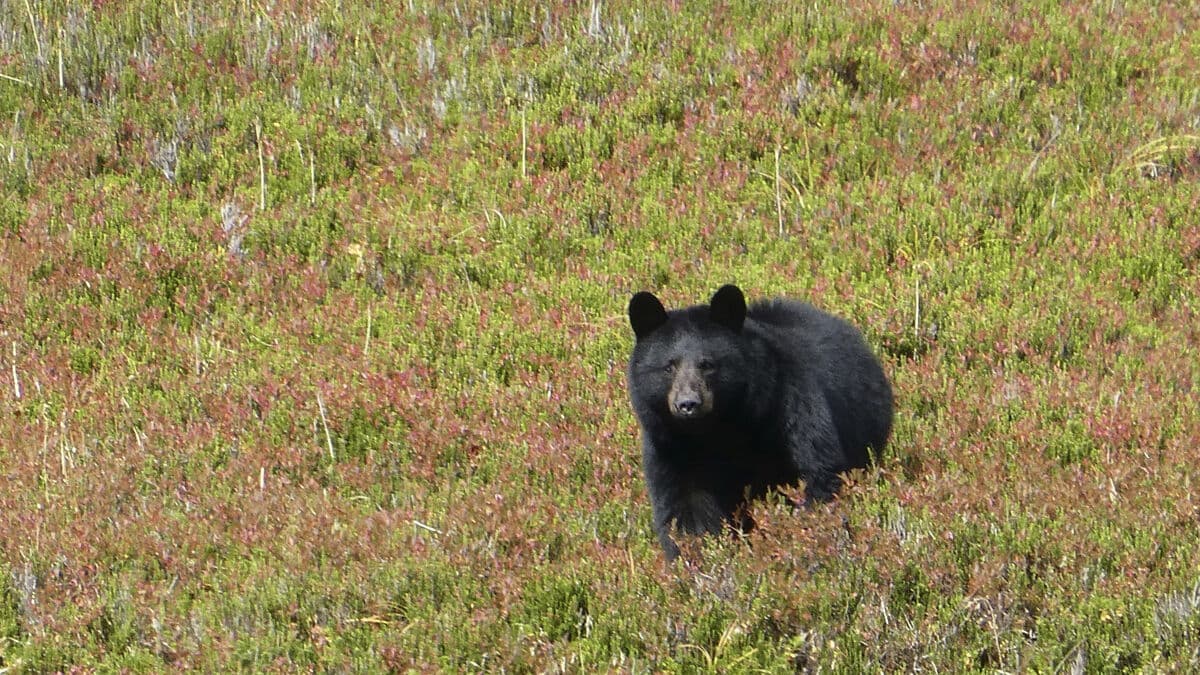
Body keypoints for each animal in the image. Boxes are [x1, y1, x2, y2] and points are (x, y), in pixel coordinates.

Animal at [626, 284, 894, 560]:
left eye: (708, 364)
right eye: (669, 366)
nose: (688, 404)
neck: (718, 431)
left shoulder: (790, 406)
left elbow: (817, 472)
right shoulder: (670, 449)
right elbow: (687, 506)